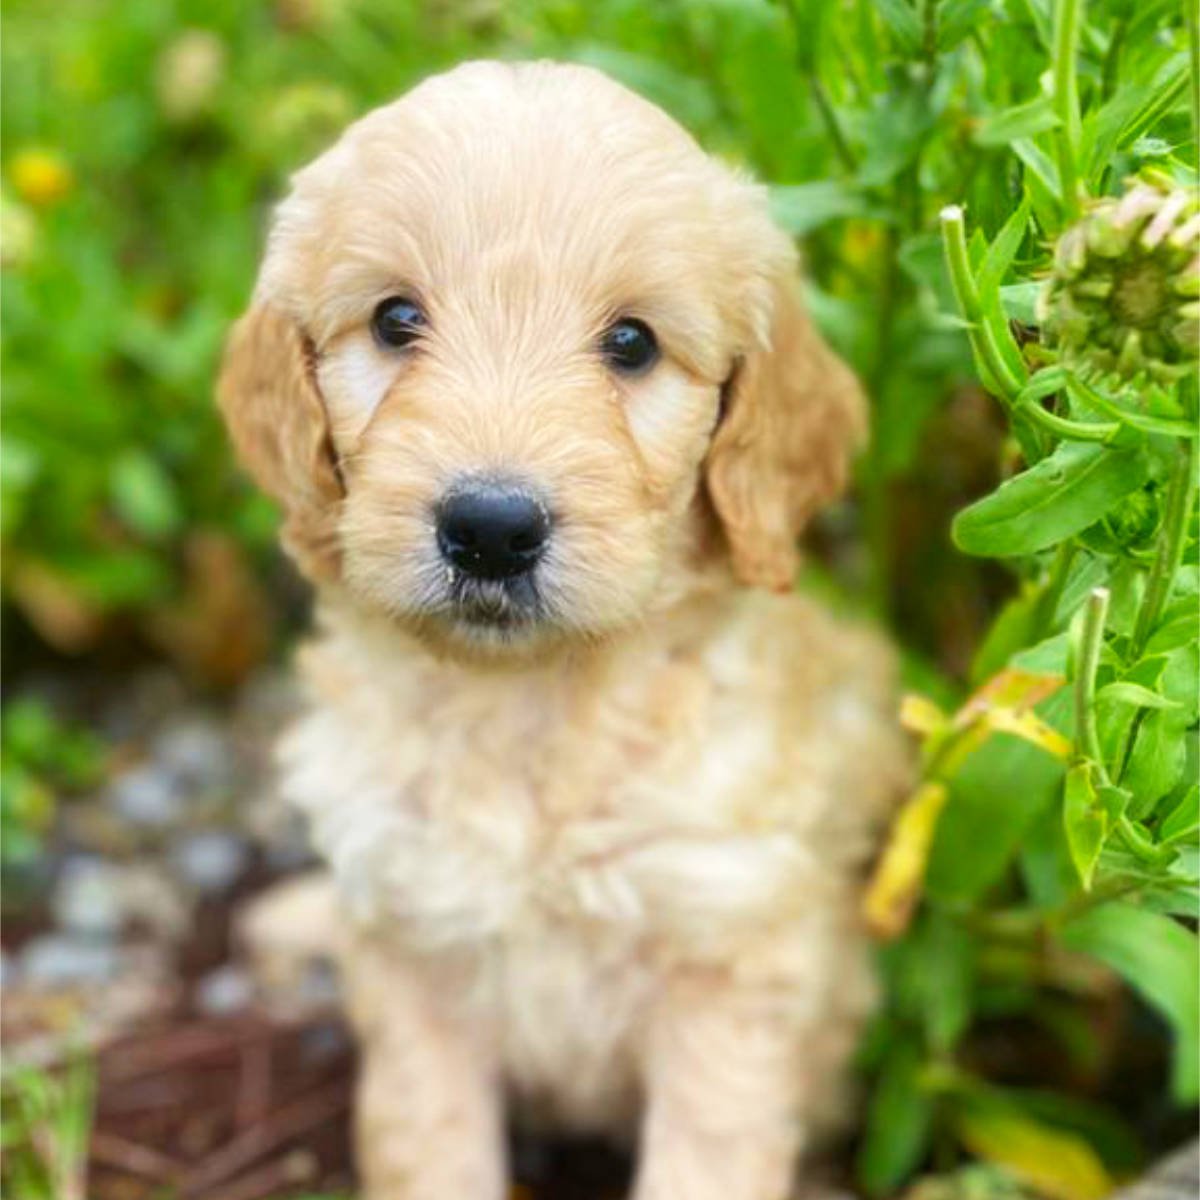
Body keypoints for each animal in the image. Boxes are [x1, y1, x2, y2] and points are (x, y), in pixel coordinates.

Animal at [220, 58, 902, 1200]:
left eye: (631, 343)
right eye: (395, 320)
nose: (491, 529)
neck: (534, 706)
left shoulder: (727, 954)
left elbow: (705, 1155)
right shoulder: (411, 942)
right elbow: (428, 1140)